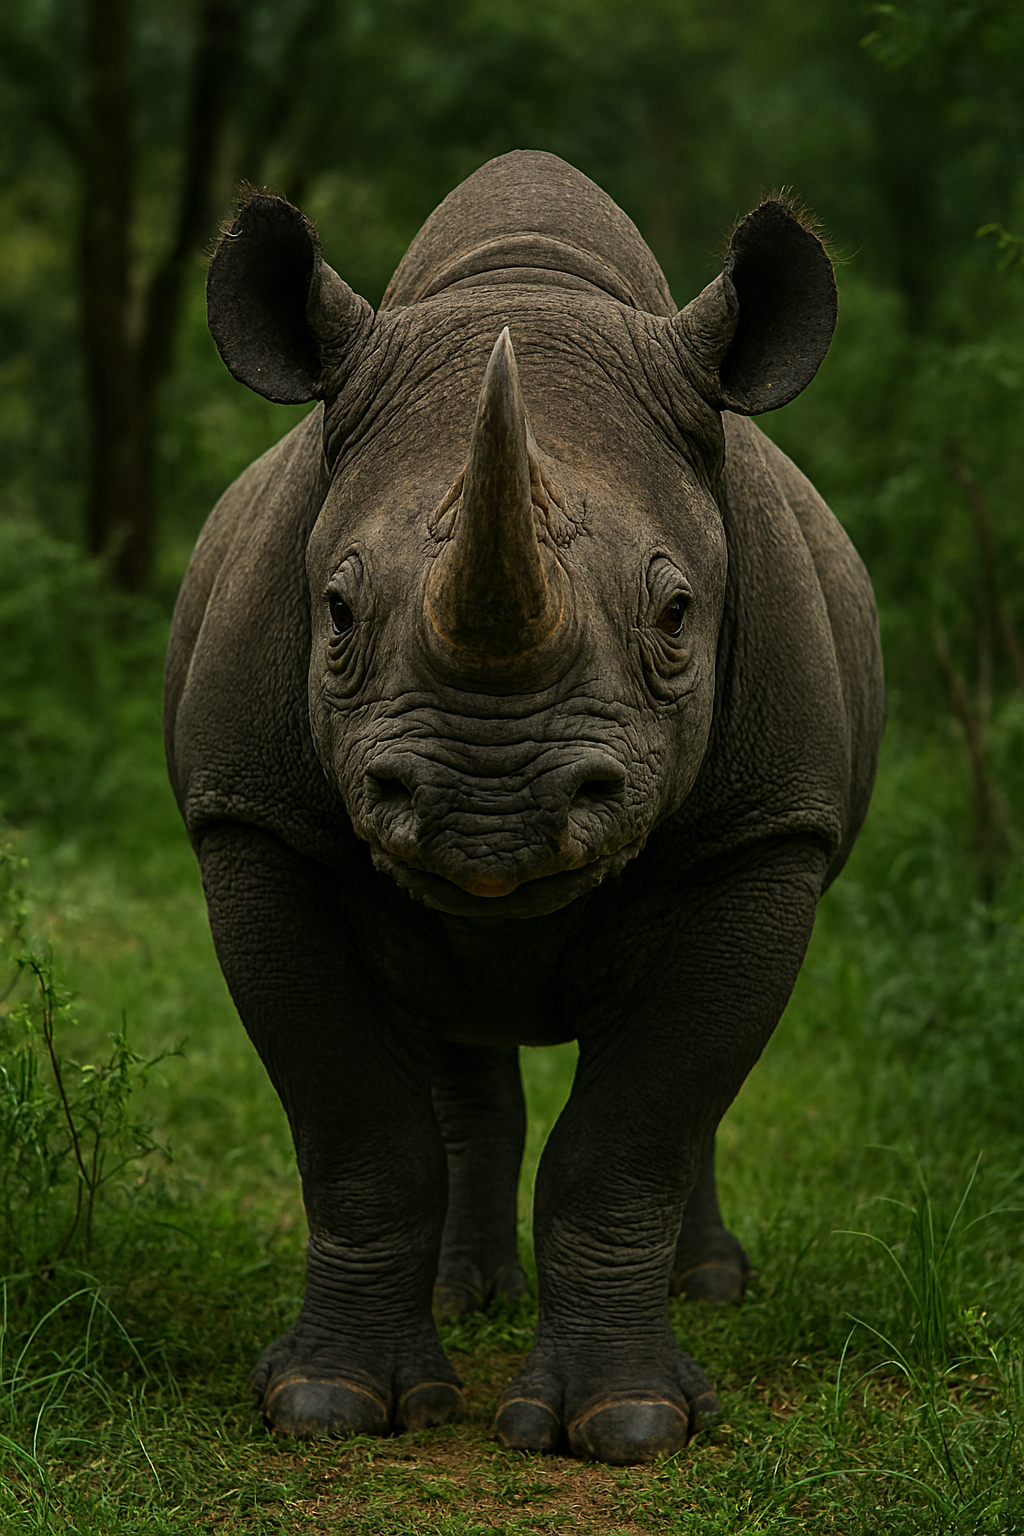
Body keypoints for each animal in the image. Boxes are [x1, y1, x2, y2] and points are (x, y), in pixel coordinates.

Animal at [165, 150, 883, 1465]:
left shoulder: (766, 834)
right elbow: (356, 1132)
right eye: (334, 611)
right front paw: (327, 1406)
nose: (485, 809)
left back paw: (706, 1290)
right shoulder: (256, 825)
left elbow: (637, 1133)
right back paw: (466, 1299)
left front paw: (630, 1425)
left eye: (677, 616)